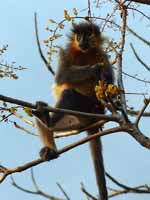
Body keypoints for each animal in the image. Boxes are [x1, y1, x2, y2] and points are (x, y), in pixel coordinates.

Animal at [33, 21, 113, 200]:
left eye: (88, 34)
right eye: (79, 35)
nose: (82, 40)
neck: (85, 52)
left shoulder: (103, 55)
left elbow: (110, 82)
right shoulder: (65, 52)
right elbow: (62, 75)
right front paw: (94, 69)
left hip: (88, 108)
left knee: (69, 94)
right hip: (75, 121)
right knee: (45, 107)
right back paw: (50, 144)